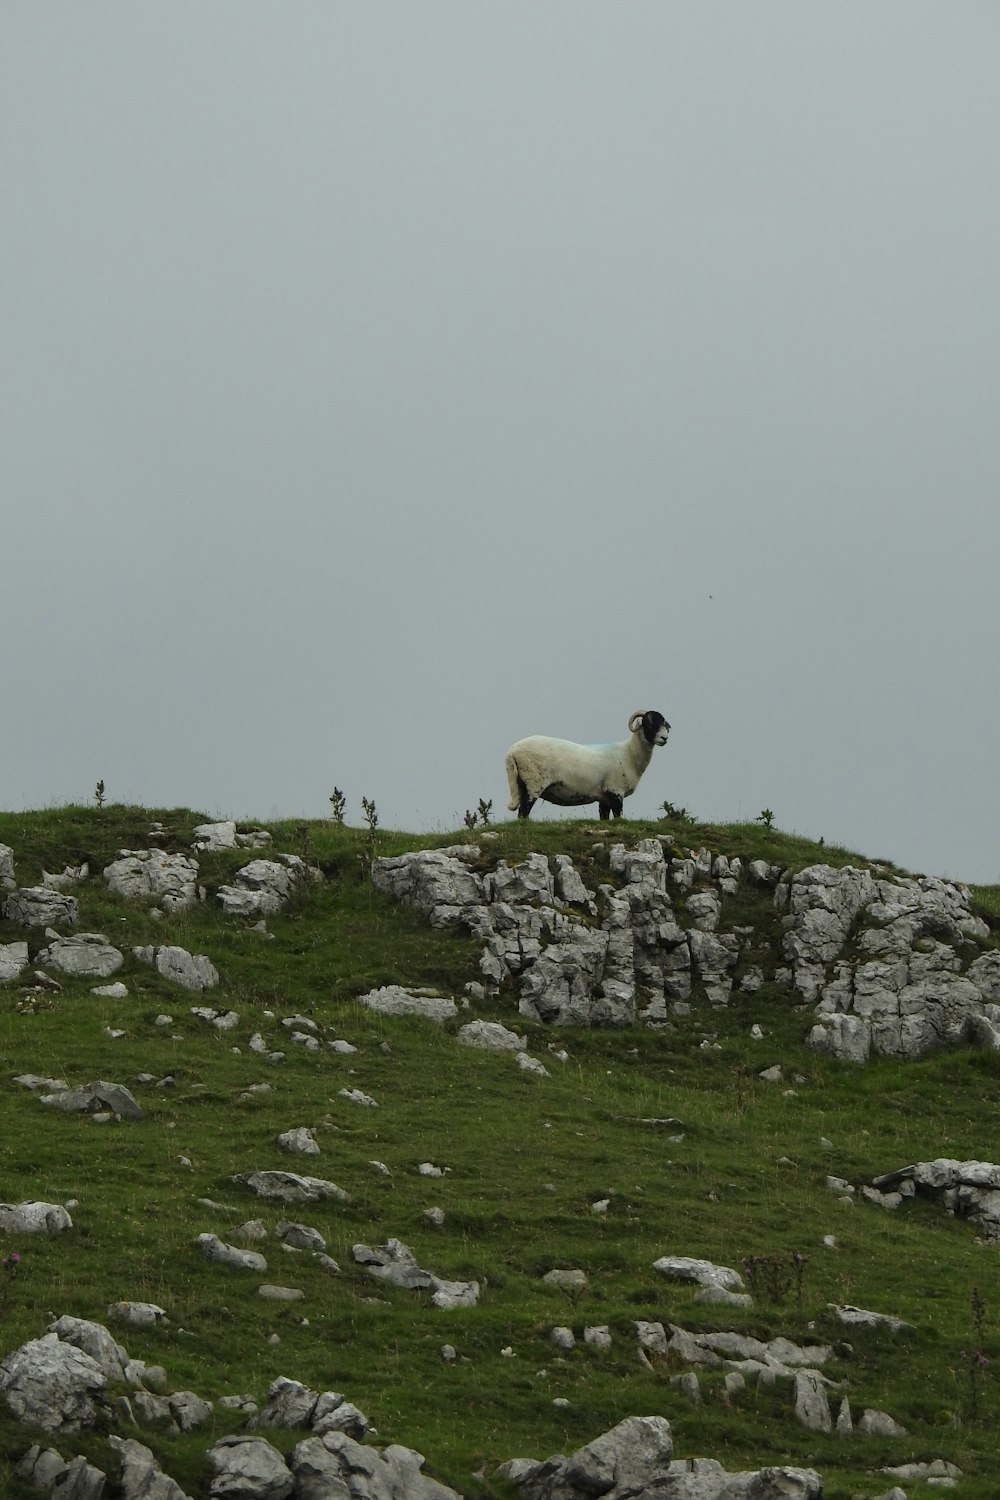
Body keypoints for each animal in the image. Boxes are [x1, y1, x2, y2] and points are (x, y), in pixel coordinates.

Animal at [503, 711, 668, 822]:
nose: (664, 738)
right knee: (524, 810)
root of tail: (513, 750)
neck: (629, 754)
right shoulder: (616, 792)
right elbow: (619, 817)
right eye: (649, 722)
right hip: (534, 782)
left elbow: (604, 818)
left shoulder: (605, 797)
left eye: (664, 723)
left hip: (521, 782)